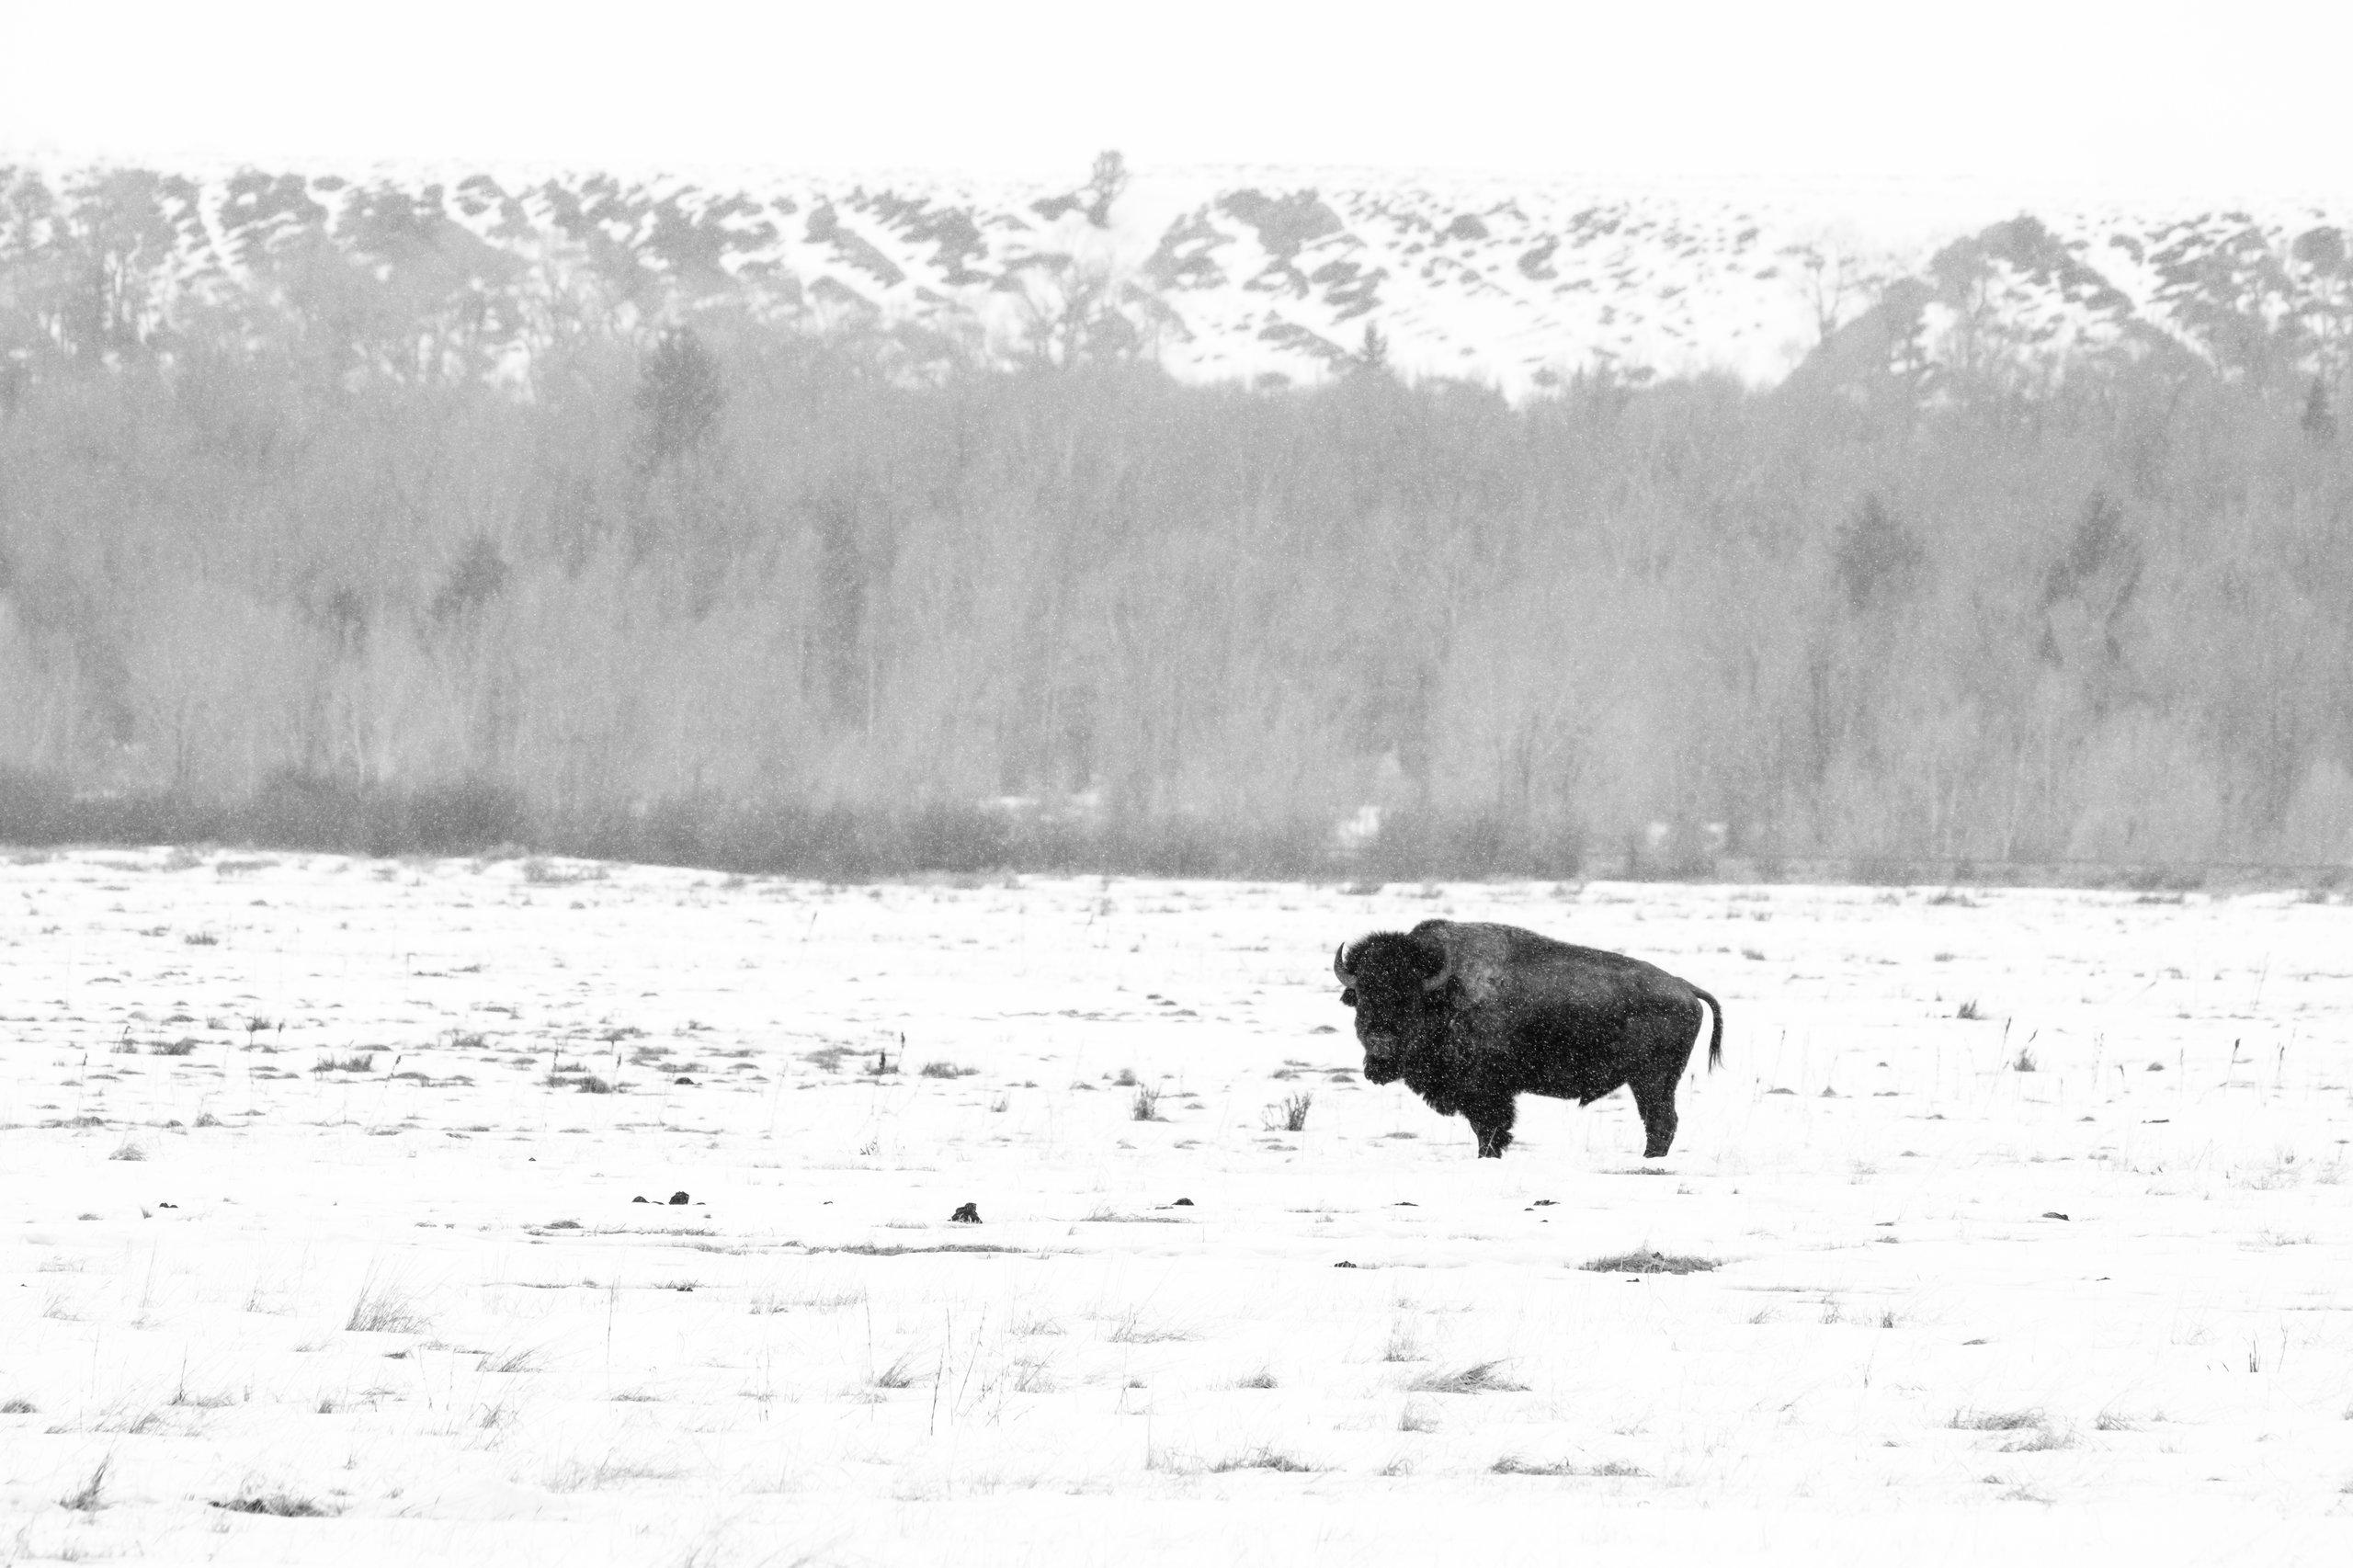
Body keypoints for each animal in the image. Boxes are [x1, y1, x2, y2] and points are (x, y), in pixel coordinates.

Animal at [1334, 919, 1722, 1159]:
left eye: (1410, 1001)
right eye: (1363, 999)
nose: (1380, 1052)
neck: (1446, 991)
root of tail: (1685, 988)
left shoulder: (1486, 1091)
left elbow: (1490, 1129)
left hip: (1651, 1080)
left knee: (1661, 1122)